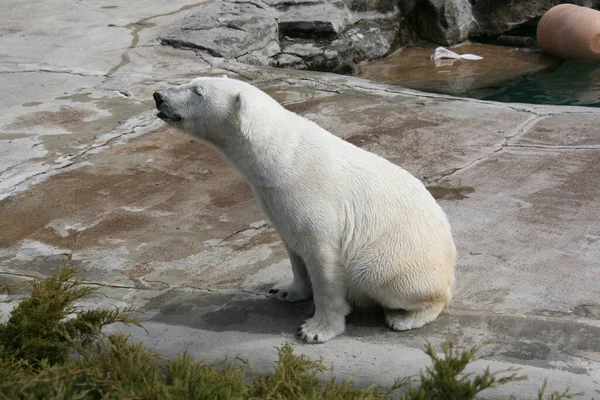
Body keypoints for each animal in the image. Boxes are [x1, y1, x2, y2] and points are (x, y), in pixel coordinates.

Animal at [154, 76, 454, 342]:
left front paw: (315, 330)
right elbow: (293, 248)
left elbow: (323, 260)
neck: (281, 157)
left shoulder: (313, 198)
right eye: (192, 80)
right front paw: (285, 290)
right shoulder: (272, 199)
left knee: (377, 274)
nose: (159, 96)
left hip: (397, 255)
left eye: (198, 91)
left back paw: (404, 318)